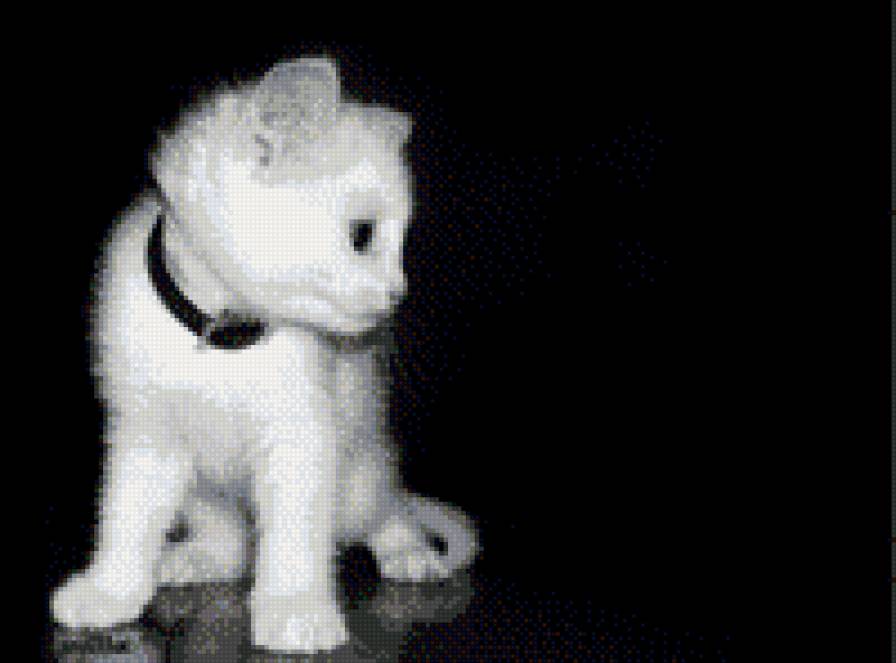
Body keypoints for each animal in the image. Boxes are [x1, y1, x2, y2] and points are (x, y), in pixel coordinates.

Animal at [50, 56, 479, 654]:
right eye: (363, 236)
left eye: (399, 242)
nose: (399, 293)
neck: (220, 336)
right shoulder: (145, 436)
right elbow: (125, 521)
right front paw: (109, 590)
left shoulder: (302, 439)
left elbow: (294, 541)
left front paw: (295, 608)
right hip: (203, 489)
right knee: (232, 546)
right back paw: (195, 559)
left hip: (360, 470)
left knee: (384, 509)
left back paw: (409, 552)